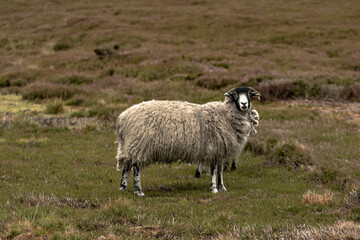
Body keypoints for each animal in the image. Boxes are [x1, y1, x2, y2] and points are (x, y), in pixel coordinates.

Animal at [116, 87, 262, 196]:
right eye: (235, 95)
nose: (244, 104)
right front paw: (214, 188)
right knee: (136, 167)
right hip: (140, 144)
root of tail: (124, 117)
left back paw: (123, 187)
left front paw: (222, 187)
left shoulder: (221, 150)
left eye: (249, 94)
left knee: (126, 165)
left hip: (129, 145)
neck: (225, 115)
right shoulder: (213, 148)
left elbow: (220, 170)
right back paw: (138, 191)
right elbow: (214, 170)